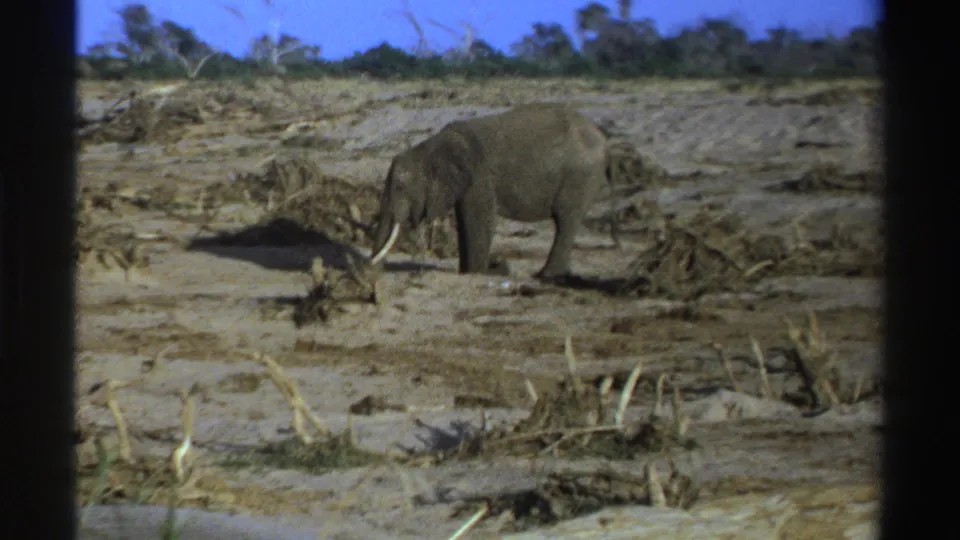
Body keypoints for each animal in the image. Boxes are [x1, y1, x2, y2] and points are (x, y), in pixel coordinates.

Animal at [367, 103, 610, 280]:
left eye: (400, 187)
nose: (374, 271)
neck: (429, 147)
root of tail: (601, 136)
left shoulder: (479, 176)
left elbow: (479, 220)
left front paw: (476, 273)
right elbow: (464, 221)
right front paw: (468, 272)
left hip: (580, 176)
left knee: (566, 221)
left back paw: (545, 276)